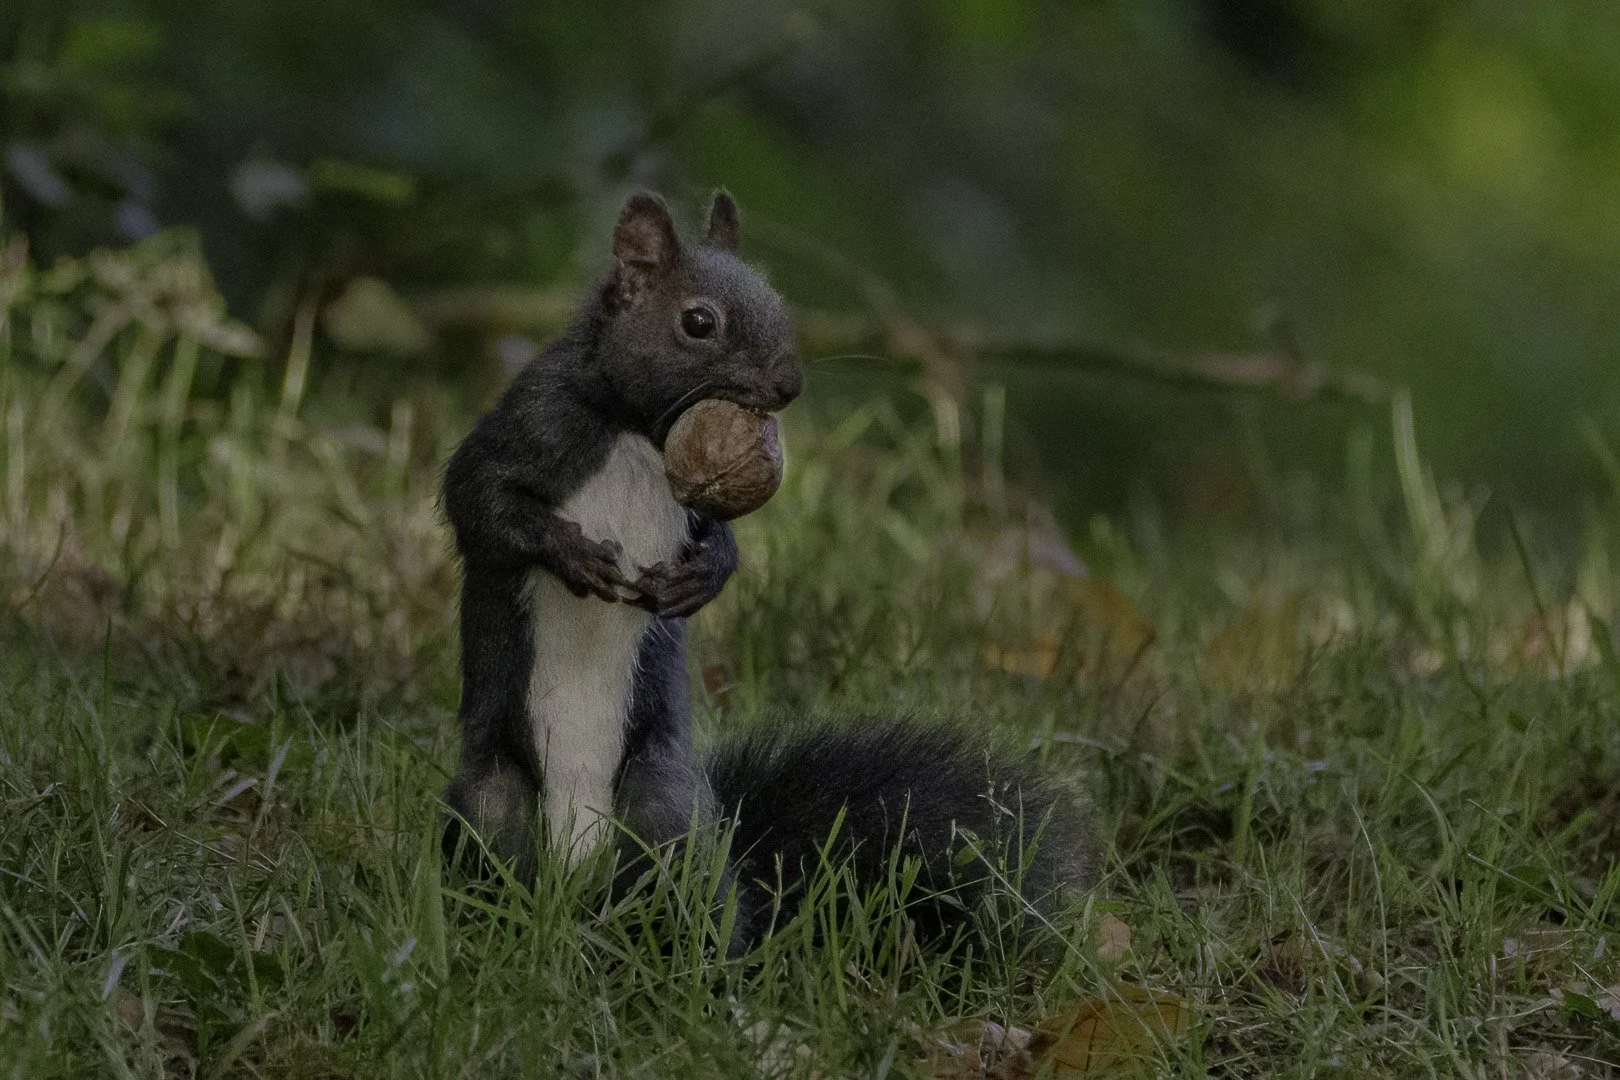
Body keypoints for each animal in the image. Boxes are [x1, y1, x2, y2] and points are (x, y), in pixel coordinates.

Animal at [440, 191, 1098, 953]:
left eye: (780, 301)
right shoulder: (529, 424)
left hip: (666, 808)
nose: (789, 385)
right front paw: (575, 554)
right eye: (699, 322)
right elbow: (481, 501)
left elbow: (718, 536)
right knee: (494, 845)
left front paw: (705, 576)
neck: (637, 429)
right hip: (494, 801)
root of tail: (579, 881)